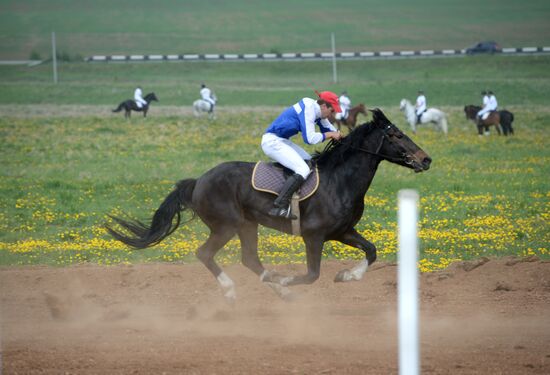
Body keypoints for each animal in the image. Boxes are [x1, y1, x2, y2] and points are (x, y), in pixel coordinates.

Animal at [105, 108, 434, 302]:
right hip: (226, 226)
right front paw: (289, 278)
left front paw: (347, 275)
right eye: (396, 134)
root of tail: (198, 181)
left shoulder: (343, 232)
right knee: (206, 254)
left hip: (247, 225)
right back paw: (237, 288)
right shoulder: (313, 236)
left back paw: (276, 286)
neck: (340, 180)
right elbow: (312, 275)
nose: (426, 159)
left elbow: (372, 251)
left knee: (250, 259)